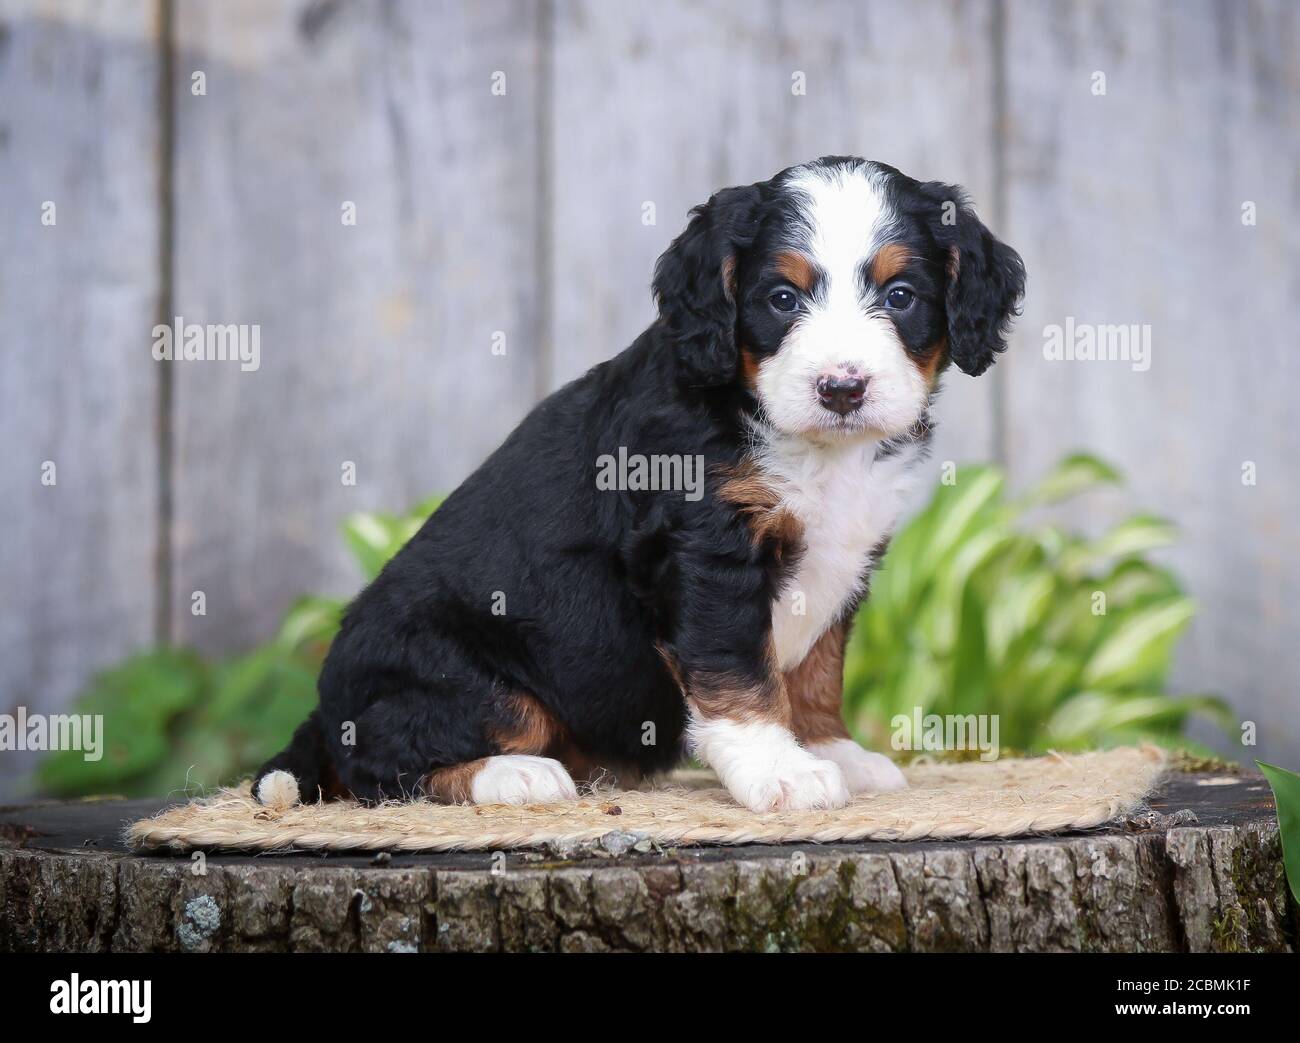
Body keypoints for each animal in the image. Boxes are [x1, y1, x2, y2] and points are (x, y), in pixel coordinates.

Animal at [253, 158, 1024, 816]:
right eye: (781, 298)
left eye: (901, 296)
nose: (841, 387)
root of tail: (325, 707)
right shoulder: (707, 549)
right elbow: (741, 673)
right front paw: (781, 770)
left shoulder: (844, 557)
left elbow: (816, 667)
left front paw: (831, 748)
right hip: (452, 669)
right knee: (383, 766)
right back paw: (515, 775)